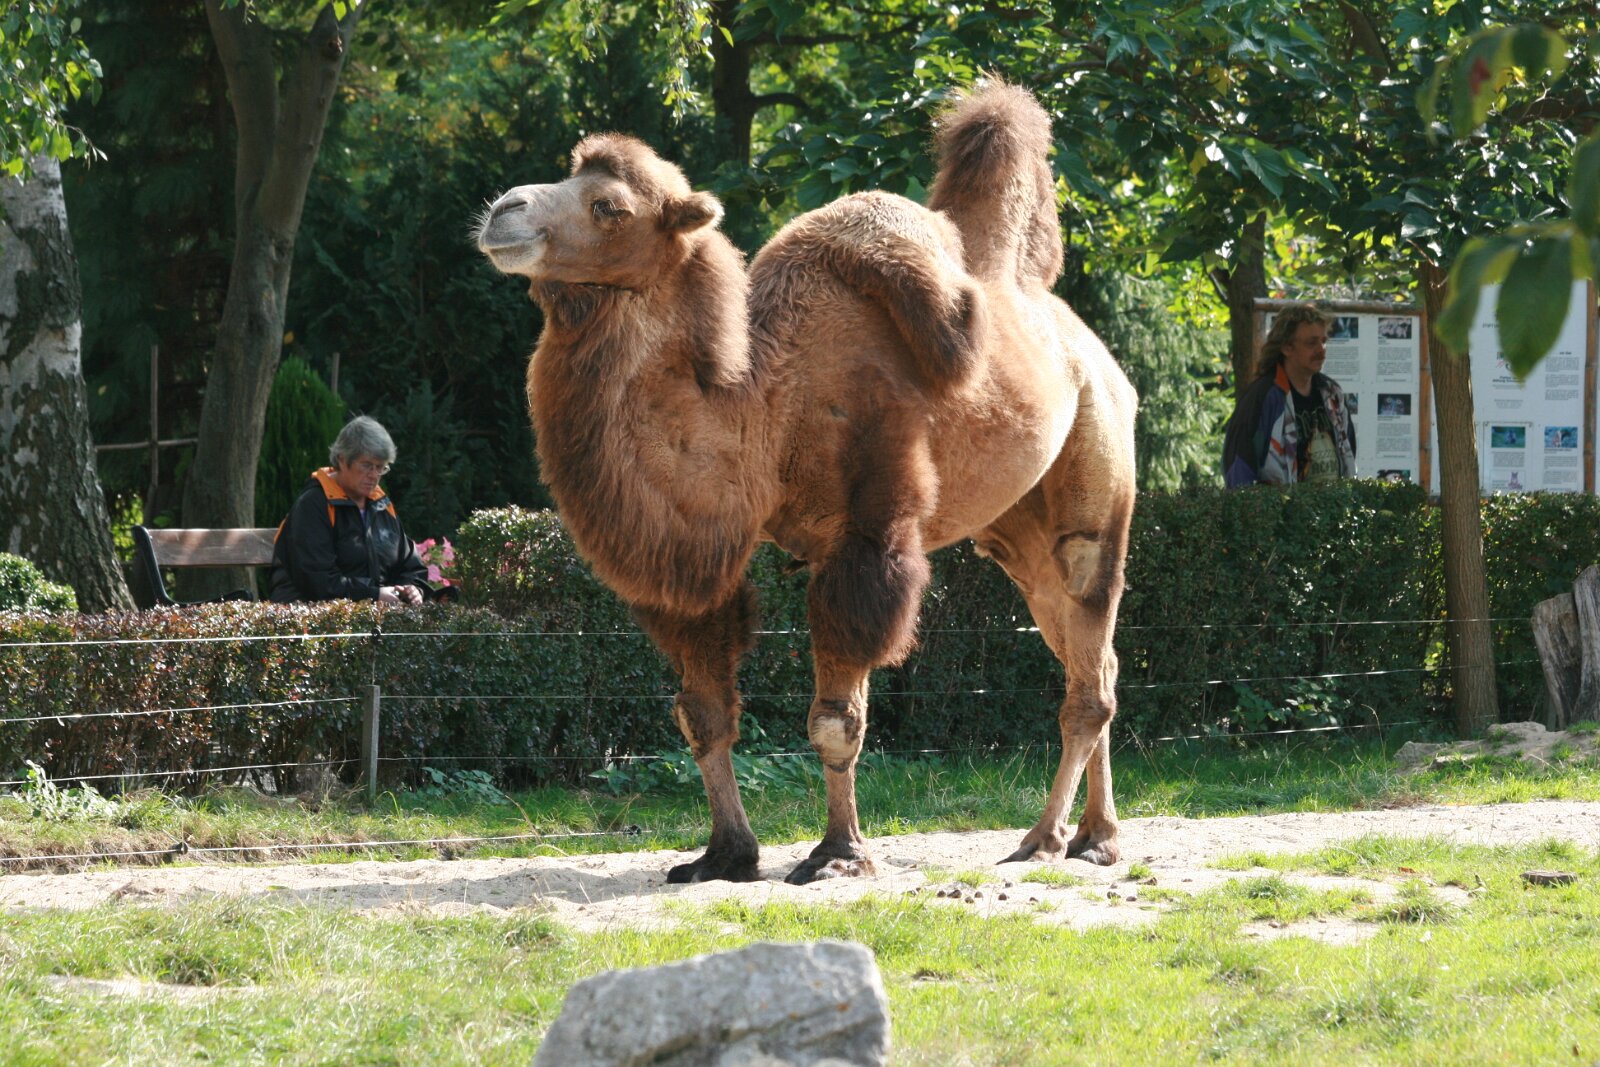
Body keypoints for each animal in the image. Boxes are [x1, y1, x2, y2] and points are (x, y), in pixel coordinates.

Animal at [476, 80, 1137, 885]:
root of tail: (1094, 354)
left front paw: (838, 853)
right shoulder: (699, 553)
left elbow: (834, 721)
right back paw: (1097, 836)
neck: (765, 402)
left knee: (1087, 655)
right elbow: (703, 713)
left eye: (609, 206)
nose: (504, 209)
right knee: (1092, 663)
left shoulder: (868, 533)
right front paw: (725, 853)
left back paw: (1045, 838)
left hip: (1095, 479)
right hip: (1015, 535)